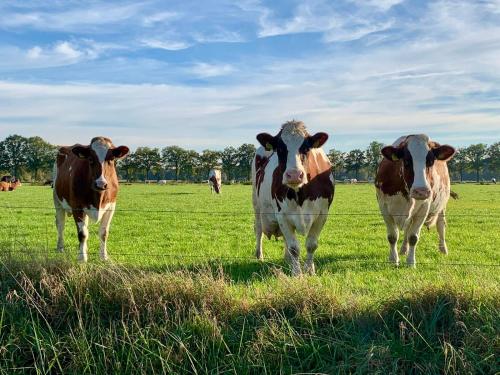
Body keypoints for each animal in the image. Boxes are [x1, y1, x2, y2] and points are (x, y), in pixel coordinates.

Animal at [252, 120, 334, 276]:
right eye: (279, 149)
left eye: (306, 148)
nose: (294, 175)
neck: (300, 194)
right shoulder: (282, 215)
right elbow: (294, 248)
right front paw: (297, 274)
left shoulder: (322, 215)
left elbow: (311, 245)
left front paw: (310, 271)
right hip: (256, 204)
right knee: (258, 229)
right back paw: (259, 256)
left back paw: (287, 260)